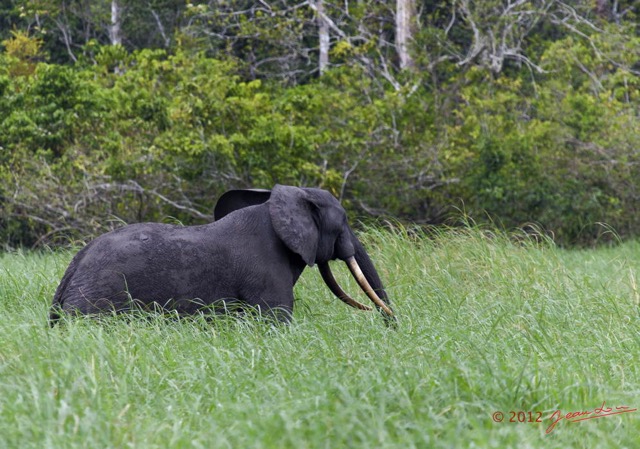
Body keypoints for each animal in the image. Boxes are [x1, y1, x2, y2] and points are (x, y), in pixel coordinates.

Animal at [48, 184, 396, 324]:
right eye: (344, 221)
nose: (390, 325)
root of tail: (72, 269)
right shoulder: (266, 274)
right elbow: (276, 318)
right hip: (97, 302)